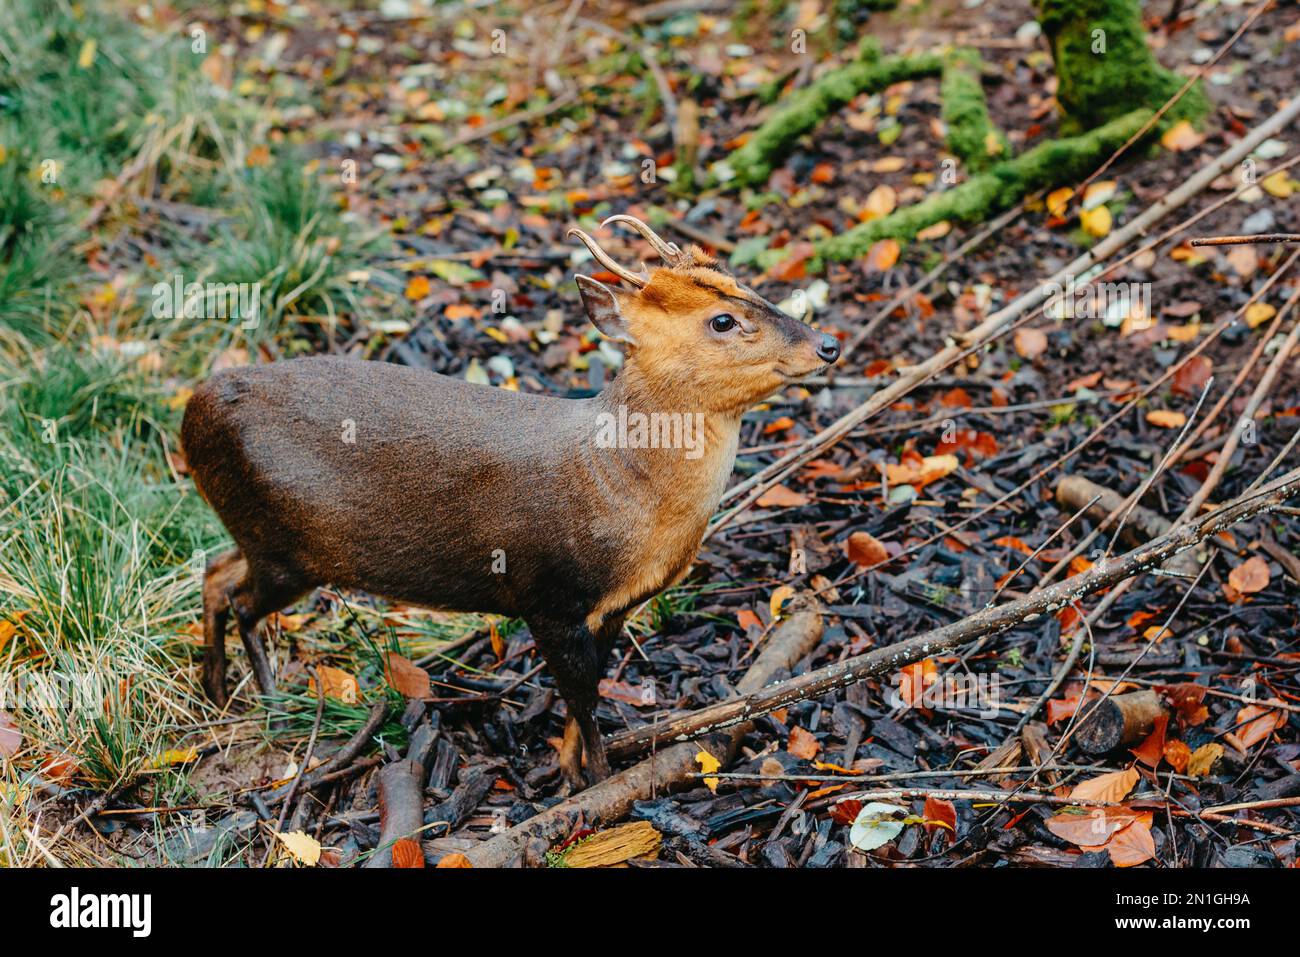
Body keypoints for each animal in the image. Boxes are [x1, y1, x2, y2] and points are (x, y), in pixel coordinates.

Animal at [185, 218, 842, 790]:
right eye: (723, 320)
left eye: (746, 284)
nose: (829, 344)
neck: (617, 483)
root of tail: (193, 408)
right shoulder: (546, 595)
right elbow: (582, 695)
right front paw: (597, 784)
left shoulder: (614, 607)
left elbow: (587, 692)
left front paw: (570, 767)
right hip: (286, 546)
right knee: (241, 600)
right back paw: (269, 700)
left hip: (259, 537)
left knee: (215, 573)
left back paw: (216, 691)